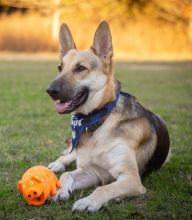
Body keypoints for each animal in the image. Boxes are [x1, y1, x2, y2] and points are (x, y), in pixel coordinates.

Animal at [46, 21, 170, 211]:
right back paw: (58, 163)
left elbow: (104, 188)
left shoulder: (131, 179)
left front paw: (88, 201)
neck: (97, 122)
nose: (50, 91)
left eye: (80, 68)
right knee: (69, 156)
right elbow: (67, 175)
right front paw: (61, 189)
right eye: (60, 68)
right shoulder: (92, 170)